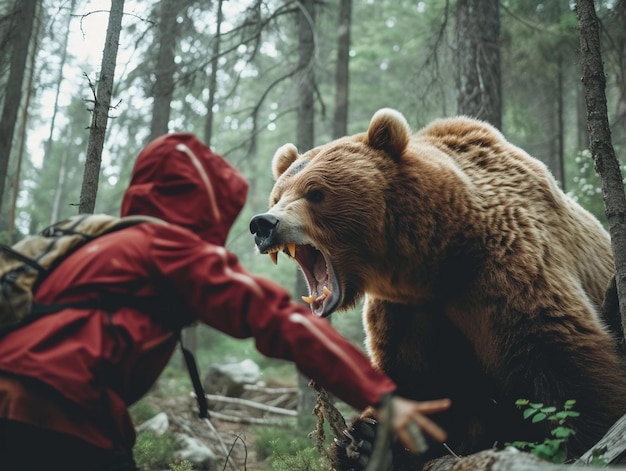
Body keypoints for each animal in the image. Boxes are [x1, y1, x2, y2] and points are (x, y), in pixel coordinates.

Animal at [247, 108, 624, 468]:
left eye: (315, 192)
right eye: (278, 194)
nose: (263, 224)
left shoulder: (508, 267)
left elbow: (559, 362)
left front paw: (577, 442)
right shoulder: (408, 311)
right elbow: (421, 384)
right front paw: (365, 441)